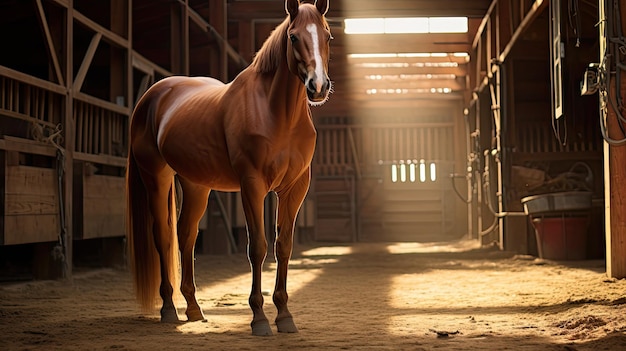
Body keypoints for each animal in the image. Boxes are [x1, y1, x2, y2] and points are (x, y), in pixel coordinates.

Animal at [125, 0, 332, 336]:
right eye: (293, 37)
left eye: (327, 36)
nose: (318, 87)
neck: (277, 114)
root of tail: (151, 96)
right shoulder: (252, 185)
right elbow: (257, 247)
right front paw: (259, 319)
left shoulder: (294, 189)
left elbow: (284, 246)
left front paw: (285, 316)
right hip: (156, 176)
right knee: (164, 236)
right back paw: (169, 309)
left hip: (196, 185)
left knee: (186, 234)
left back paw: (194, 309)